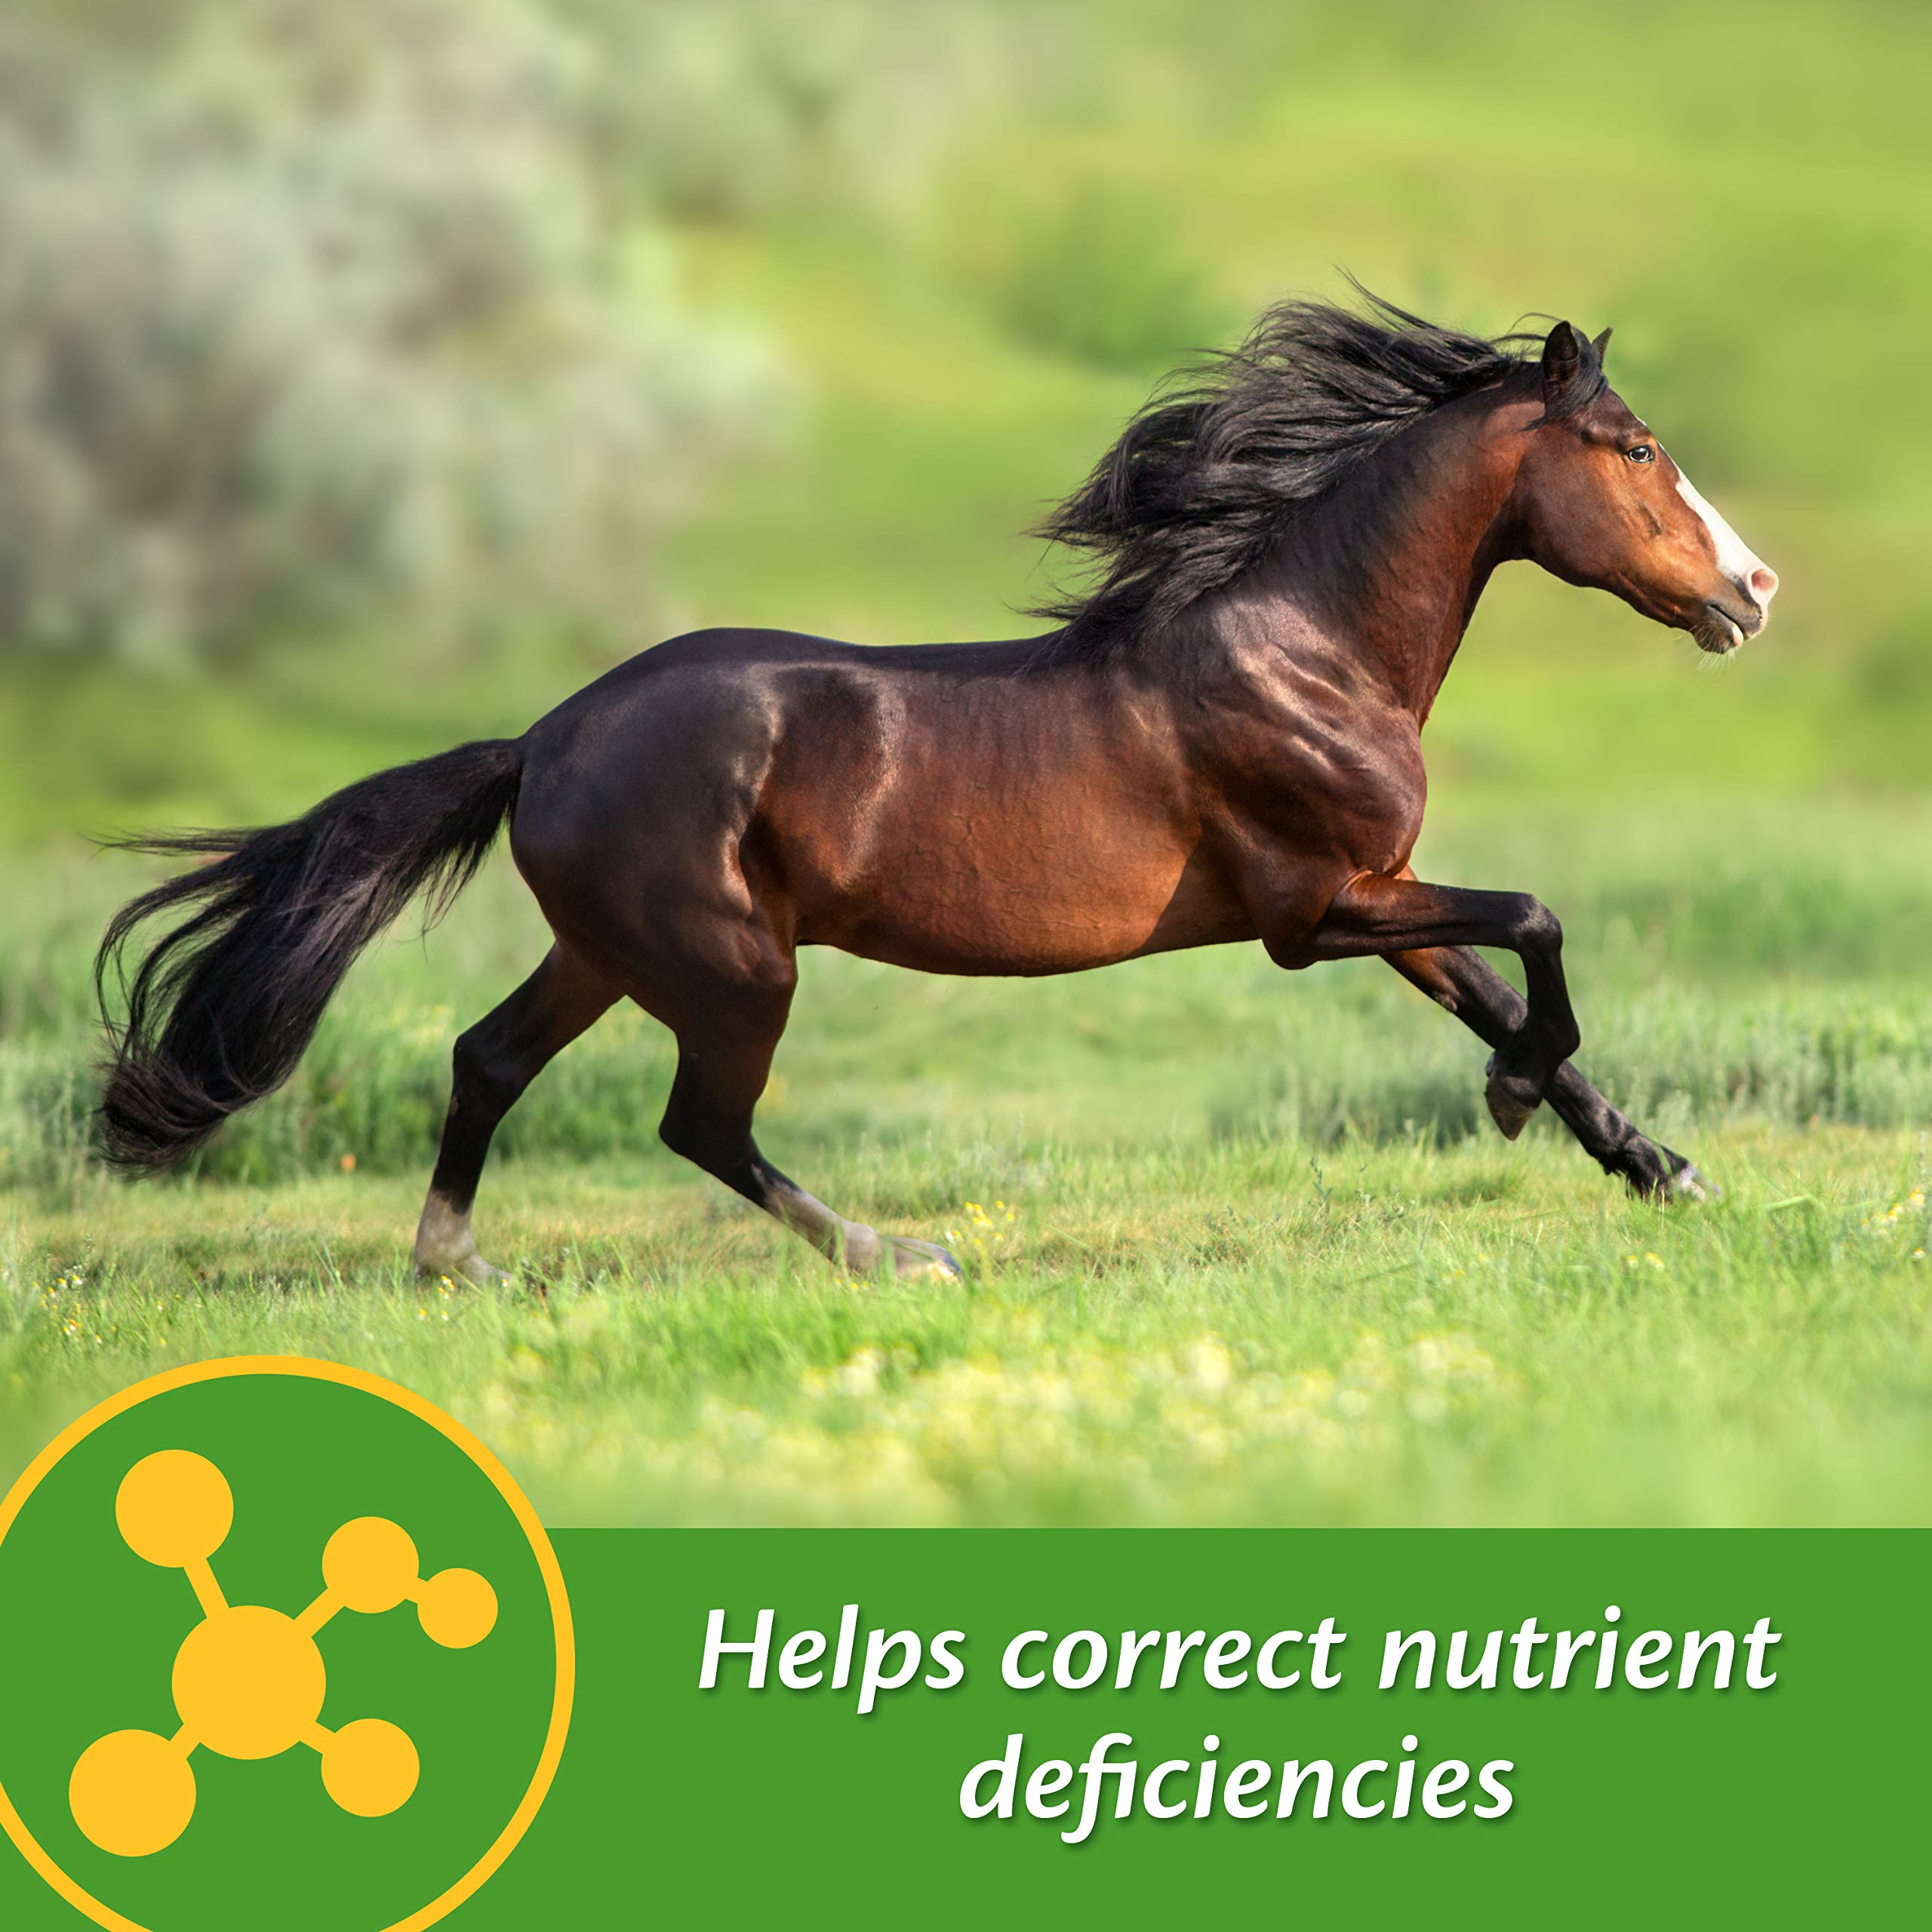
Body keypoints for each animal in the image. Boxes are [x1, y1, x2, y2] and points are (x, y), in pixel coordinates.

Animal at [94, 290, 1779, 1286]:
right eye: (1631, 446)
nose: (1753, 591)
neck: (1303, 648)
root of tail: (543, 739)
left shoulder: (1377, 892)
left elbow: (1500, 989)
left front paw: (1660, 1167)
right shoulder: (1315, 912)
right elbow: (1538, 927)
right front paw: (1525, 1108)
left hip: (611, 951)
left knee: (487, 1058)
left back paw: (461, 1265)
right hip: (729, 966)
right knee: (698, 1124)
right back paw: (893, 1255)